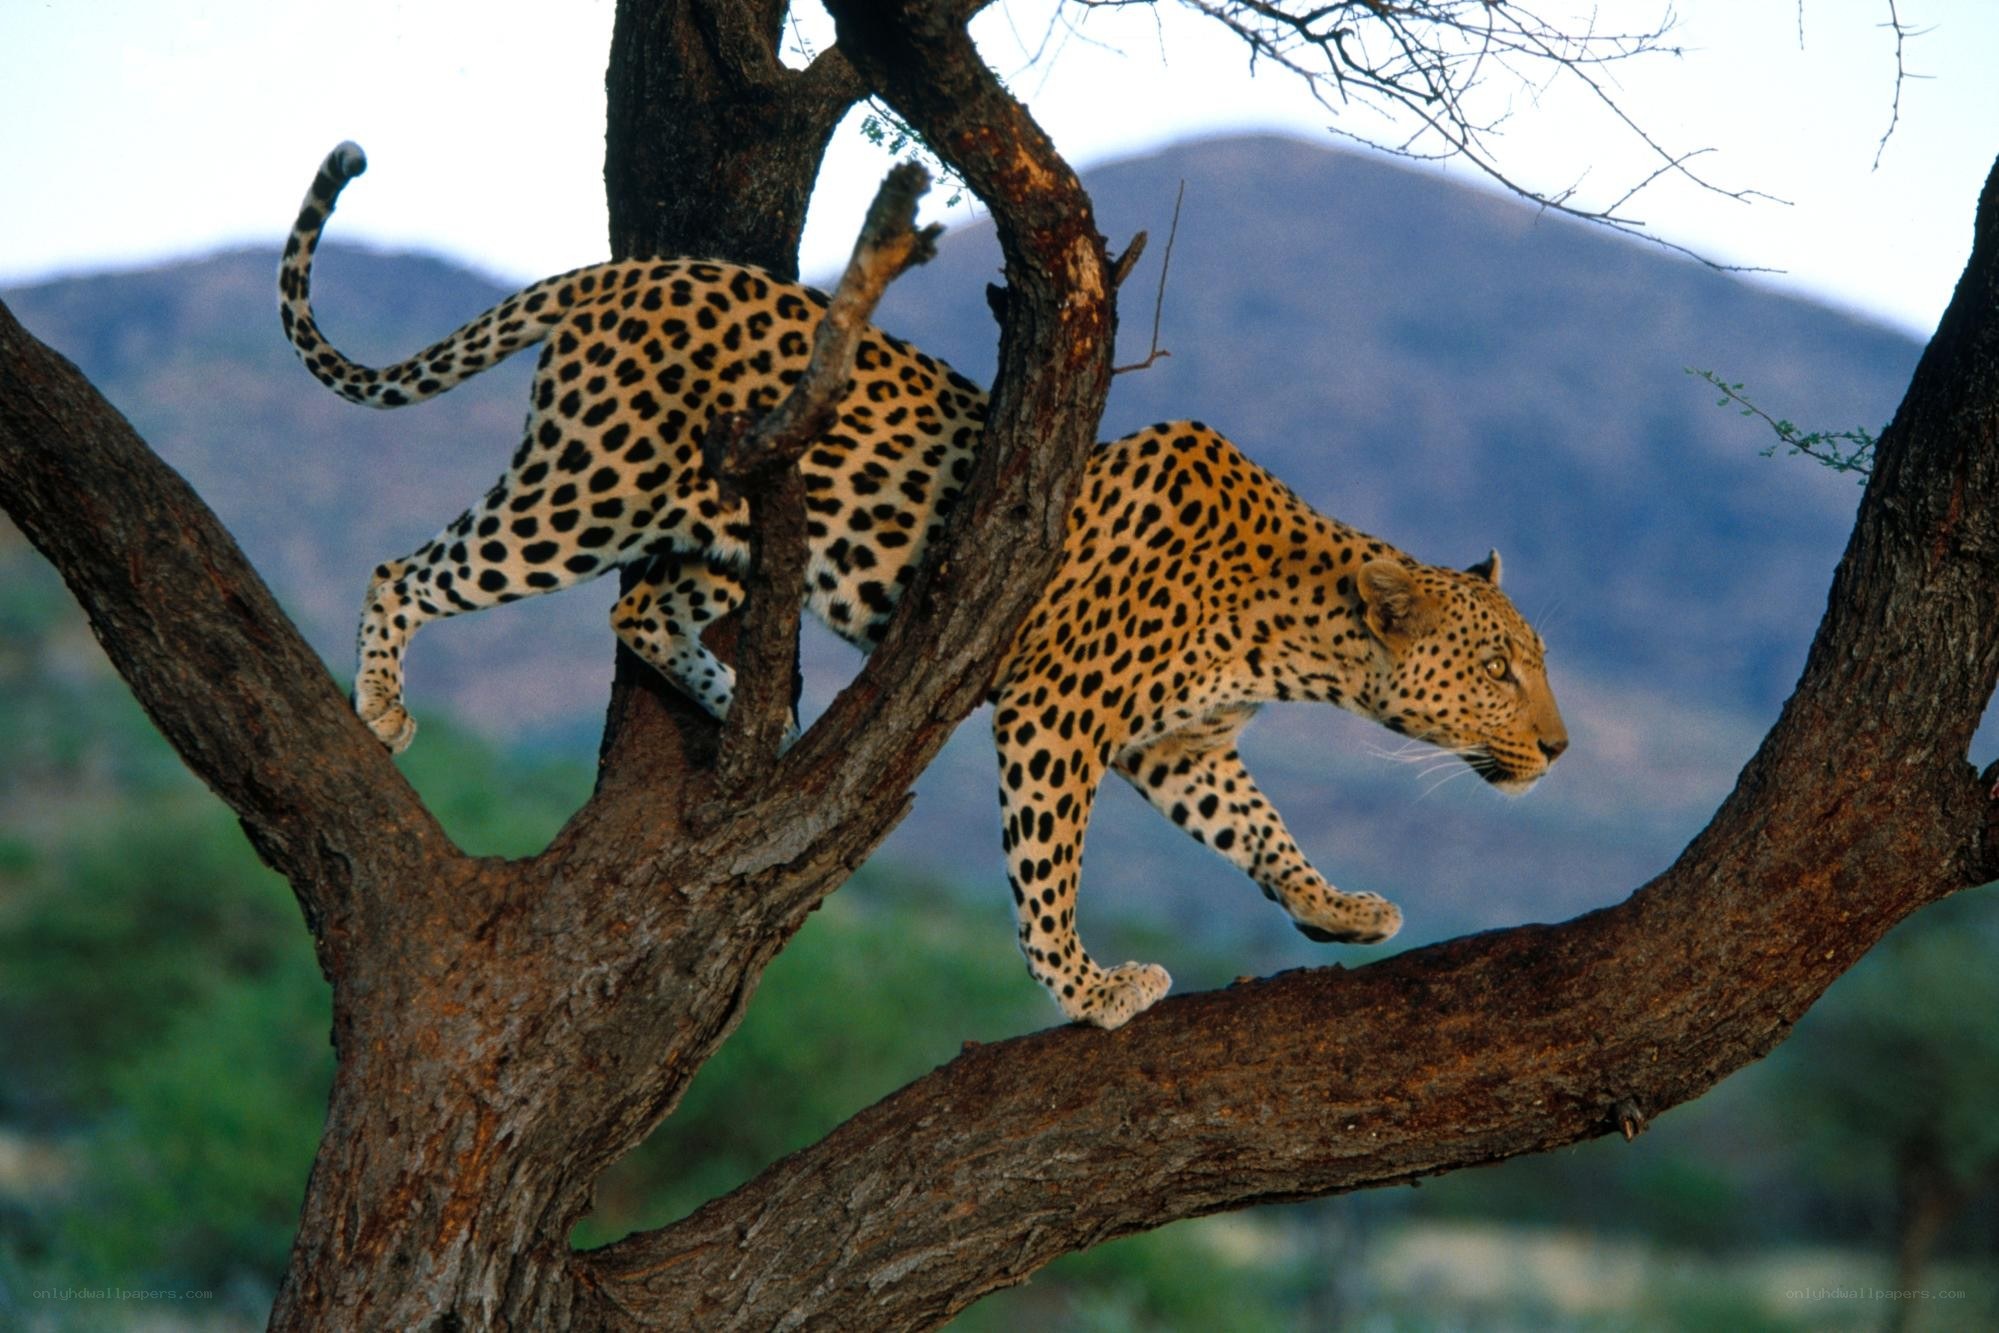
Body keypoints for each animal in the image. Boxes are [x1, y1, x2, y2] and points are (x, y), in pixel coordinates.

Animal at [279, 141, 1568, 1030]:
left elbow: (1262, 827)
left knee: (640, 608)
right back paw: (384, 704)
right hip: (586, 490)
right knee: (414, 568)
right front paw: (1089, 988)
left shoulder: (1182, 744)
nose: (1558, 750)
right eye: (1504, 668)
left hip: (713, 524)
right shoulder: (1057, 711)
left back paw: (756, 713)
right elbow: (1048, 866)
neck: (1299, 638)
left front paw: (1334, 906)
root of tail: (624, 271)